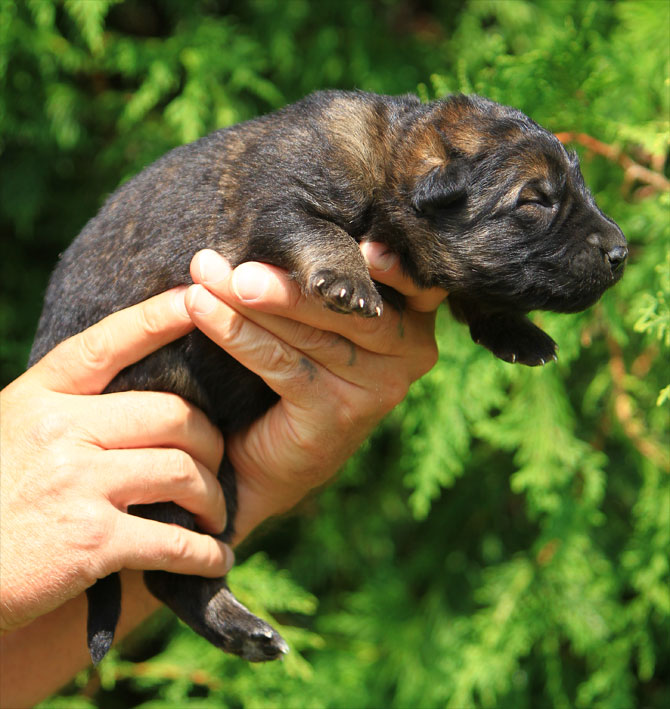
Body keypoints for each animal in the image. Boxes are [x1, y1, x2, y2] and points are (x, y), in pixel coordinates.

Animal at [29, 90, 627, 664]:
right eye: (535, 201)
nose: (622, 251)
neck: (387, 161)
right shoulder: (278, 200)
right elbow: (312, 225)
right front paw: (348, 278)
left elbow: (479, 293)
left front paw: (516, 331)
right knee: (168, 569)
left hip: (211, 479)